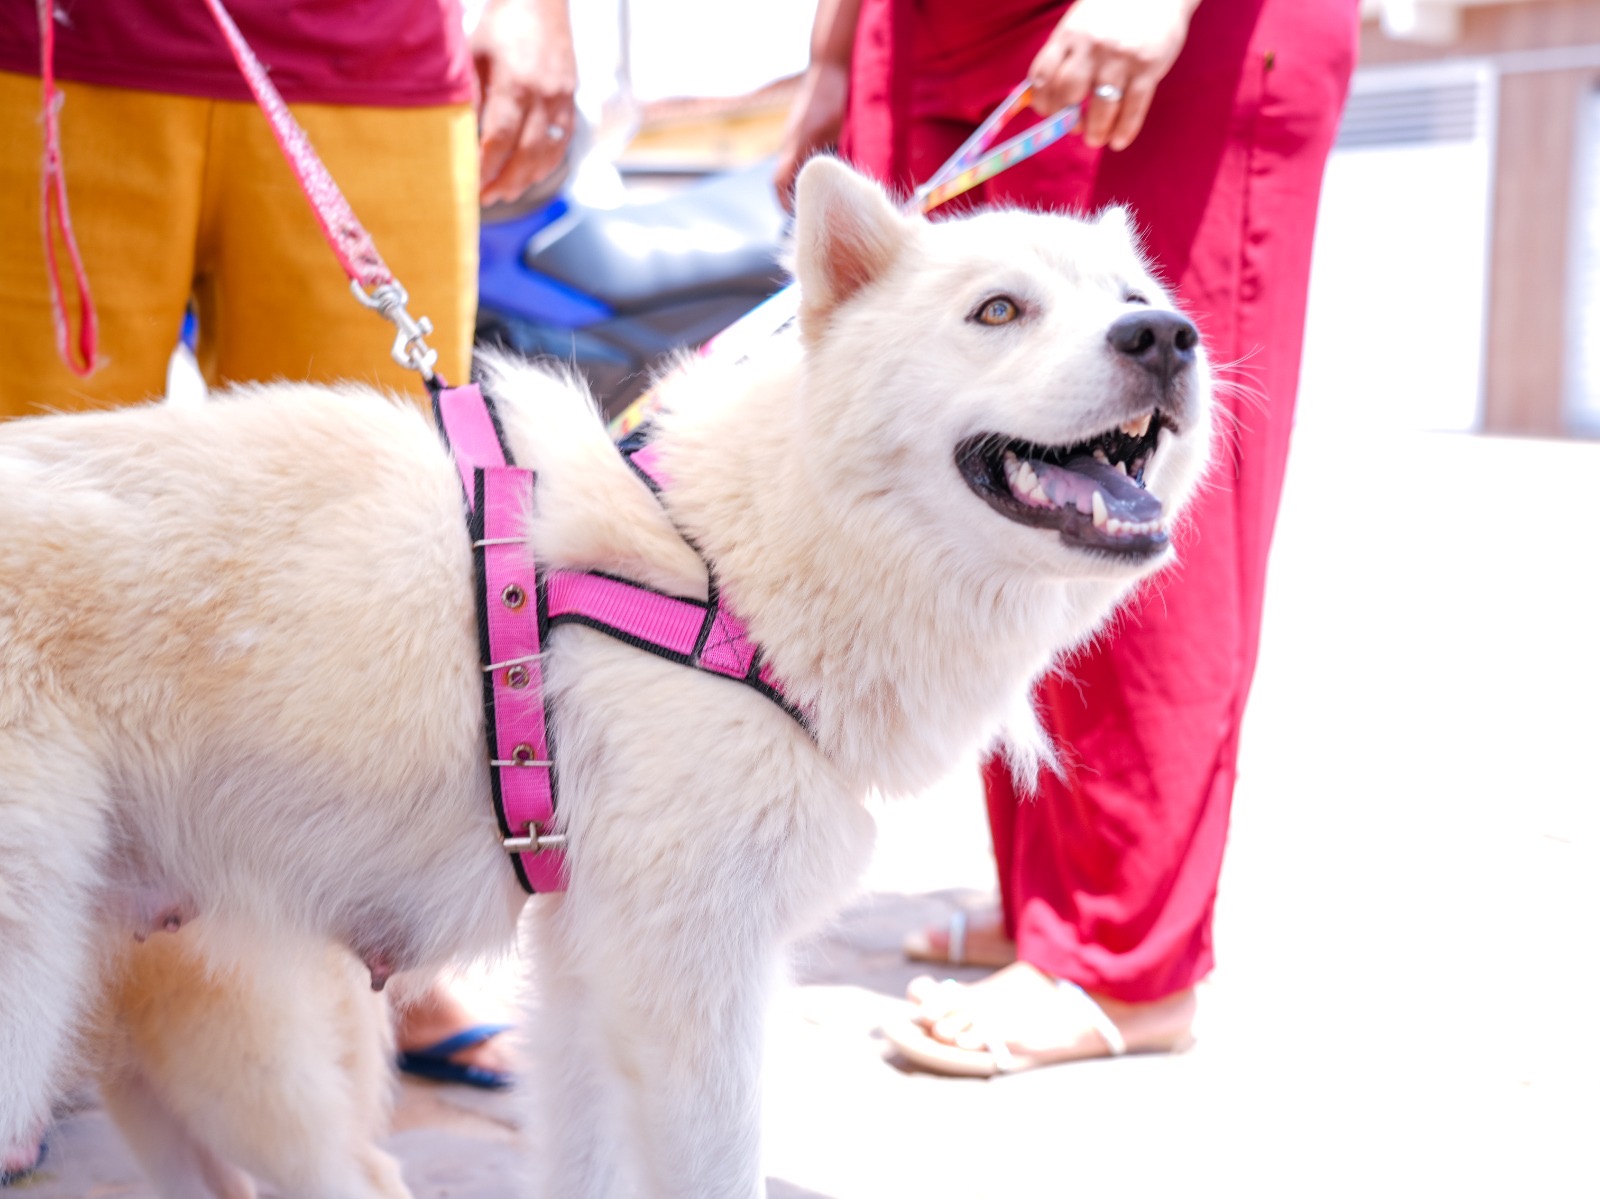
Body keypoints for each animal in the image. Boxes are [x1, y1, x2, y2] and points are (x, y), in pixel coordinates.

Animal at [0, 159, 1203, 1197]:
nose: (1166, 337)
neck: (729, 569)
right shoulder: (683, 977)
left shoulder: (592, 967)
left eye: (1135, 299)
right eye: (998, 311)